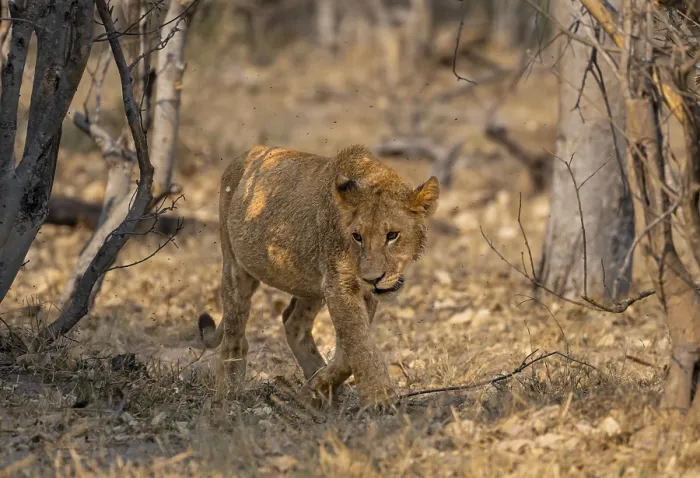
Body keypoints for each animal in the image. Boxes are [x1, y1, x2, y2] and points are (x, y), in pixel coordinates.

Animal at [197, 144, 440, 407]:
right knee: (234, 333)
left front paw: (316, 388)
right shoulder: (339, 285)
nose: (371, 278)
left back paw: (316, 384)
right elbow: (359, 343)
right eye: (357, 237)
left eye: (392, 235)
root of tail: (246, 154)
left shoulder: (357, 292)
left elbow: (349, 349)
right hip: (235, 265)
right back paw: (230, 392)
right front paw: (380, 397)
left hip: (312, 283)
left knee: (294, 322)